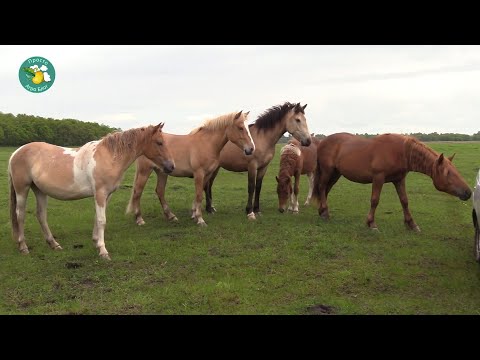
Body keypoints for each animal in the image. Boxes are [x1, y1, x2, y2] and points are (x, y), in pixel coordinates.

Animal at [7, 124, 175, 258]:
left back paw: (54, 244)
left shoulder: (106, 195)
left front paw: (96, 242)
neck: (109, 156)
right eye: (159, 142)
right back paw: (23, 247)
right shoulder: (100, 193)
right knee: (20, 215)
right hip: (22, 189)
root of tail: (16, 153)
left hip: (40, 190)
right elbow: (102, 220)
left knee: (41, 215)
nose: (171, 166)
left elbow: (97, 217)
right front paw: (103, 250)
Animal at [125, 111, 256, 226]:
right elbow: (199, 195)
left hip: (162, 172)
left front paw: (194, 214)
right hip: (144, 171)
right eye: (240, 128)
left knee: (160, 191)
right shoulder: (199, 173)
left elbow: (200, 192)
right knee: (137, 192)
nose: (251, 149)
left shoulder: (207, 174)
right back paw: (139, 219)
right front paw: (200, 219)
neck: (207, 143)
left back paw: (171, 216)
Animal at [312, 132, 472, 231]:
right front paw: (371, 224)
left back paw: (322, 211)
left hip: (336, 174)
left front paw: (411, 224)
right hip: (327, 171)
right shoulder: (378, 178)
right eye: (448, 173)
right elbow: (375, 200)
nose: (468, 192)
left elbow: (404, 201)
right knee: (321, 187)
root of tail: (322, 142)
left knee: (325, 190)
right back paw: (324, 212)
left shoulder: (399, 180)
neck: (401, 151)